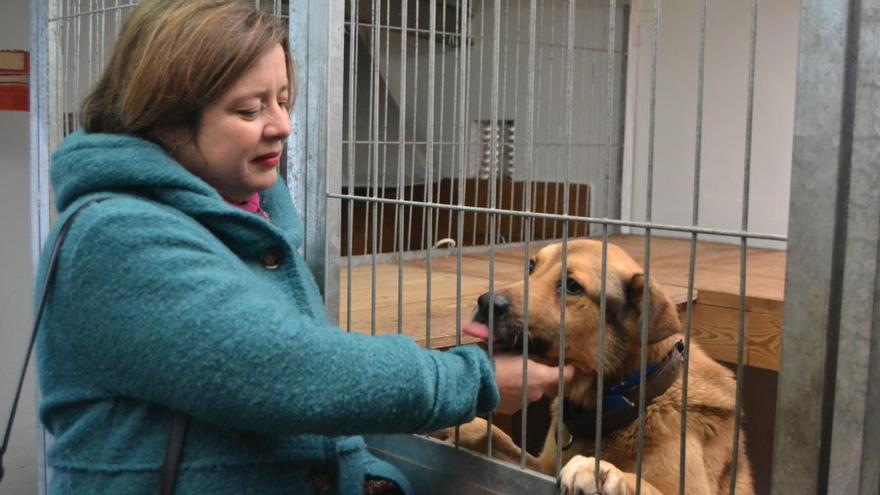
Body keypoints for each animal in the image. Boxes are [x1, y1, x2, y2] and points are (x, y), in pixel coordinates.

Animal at [454, 239, 748, 492]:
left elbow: (642, 483)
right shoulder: (538, 469)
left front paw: (597, 469)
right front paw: (466, 426)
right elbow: (497, 437)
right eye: (531, 267)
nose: (485, 303)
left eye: (572, 285)